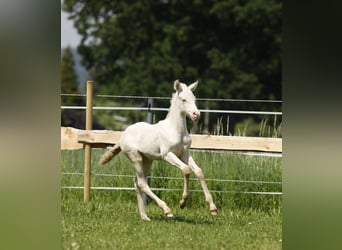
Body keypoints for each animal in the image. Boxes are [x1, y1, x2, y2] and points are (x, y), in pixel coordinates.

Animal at [99, 79, 216, 220]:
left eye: (194, 99)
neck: (176, 131)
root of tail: (123, 135)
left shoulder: (185, 153)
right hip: (136, 158)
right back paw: (166, 210)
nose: (196, 115)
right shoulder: (167, 155)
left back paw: (144, 216)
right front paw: (182, 203)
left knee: (137, 182)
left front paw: (213, 208)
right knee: (142, 183)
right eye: (183, 99)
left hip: (147, 160)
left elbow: (199, 172)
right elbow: (186, 170)